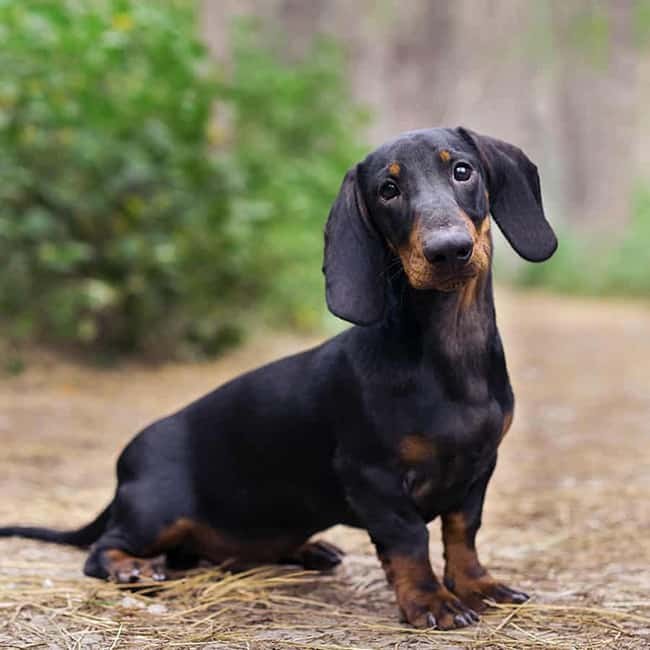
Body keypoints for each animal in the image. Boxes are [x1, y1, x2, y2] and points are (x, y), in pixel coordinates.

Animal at [1, 126, 556, 628]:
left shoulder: (480, 466)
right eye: (388, 190)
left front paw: (478, 585)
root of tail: (124, 467)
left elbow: (463, 532)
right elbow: (409, 540)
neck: (448, 354)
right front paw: (431, 602)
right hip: (155, 510)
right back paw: (129, 568)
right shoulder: (372, 477)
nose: (449, 250)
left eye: (462, 170)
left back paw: (309, 550)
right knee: (103, 548)